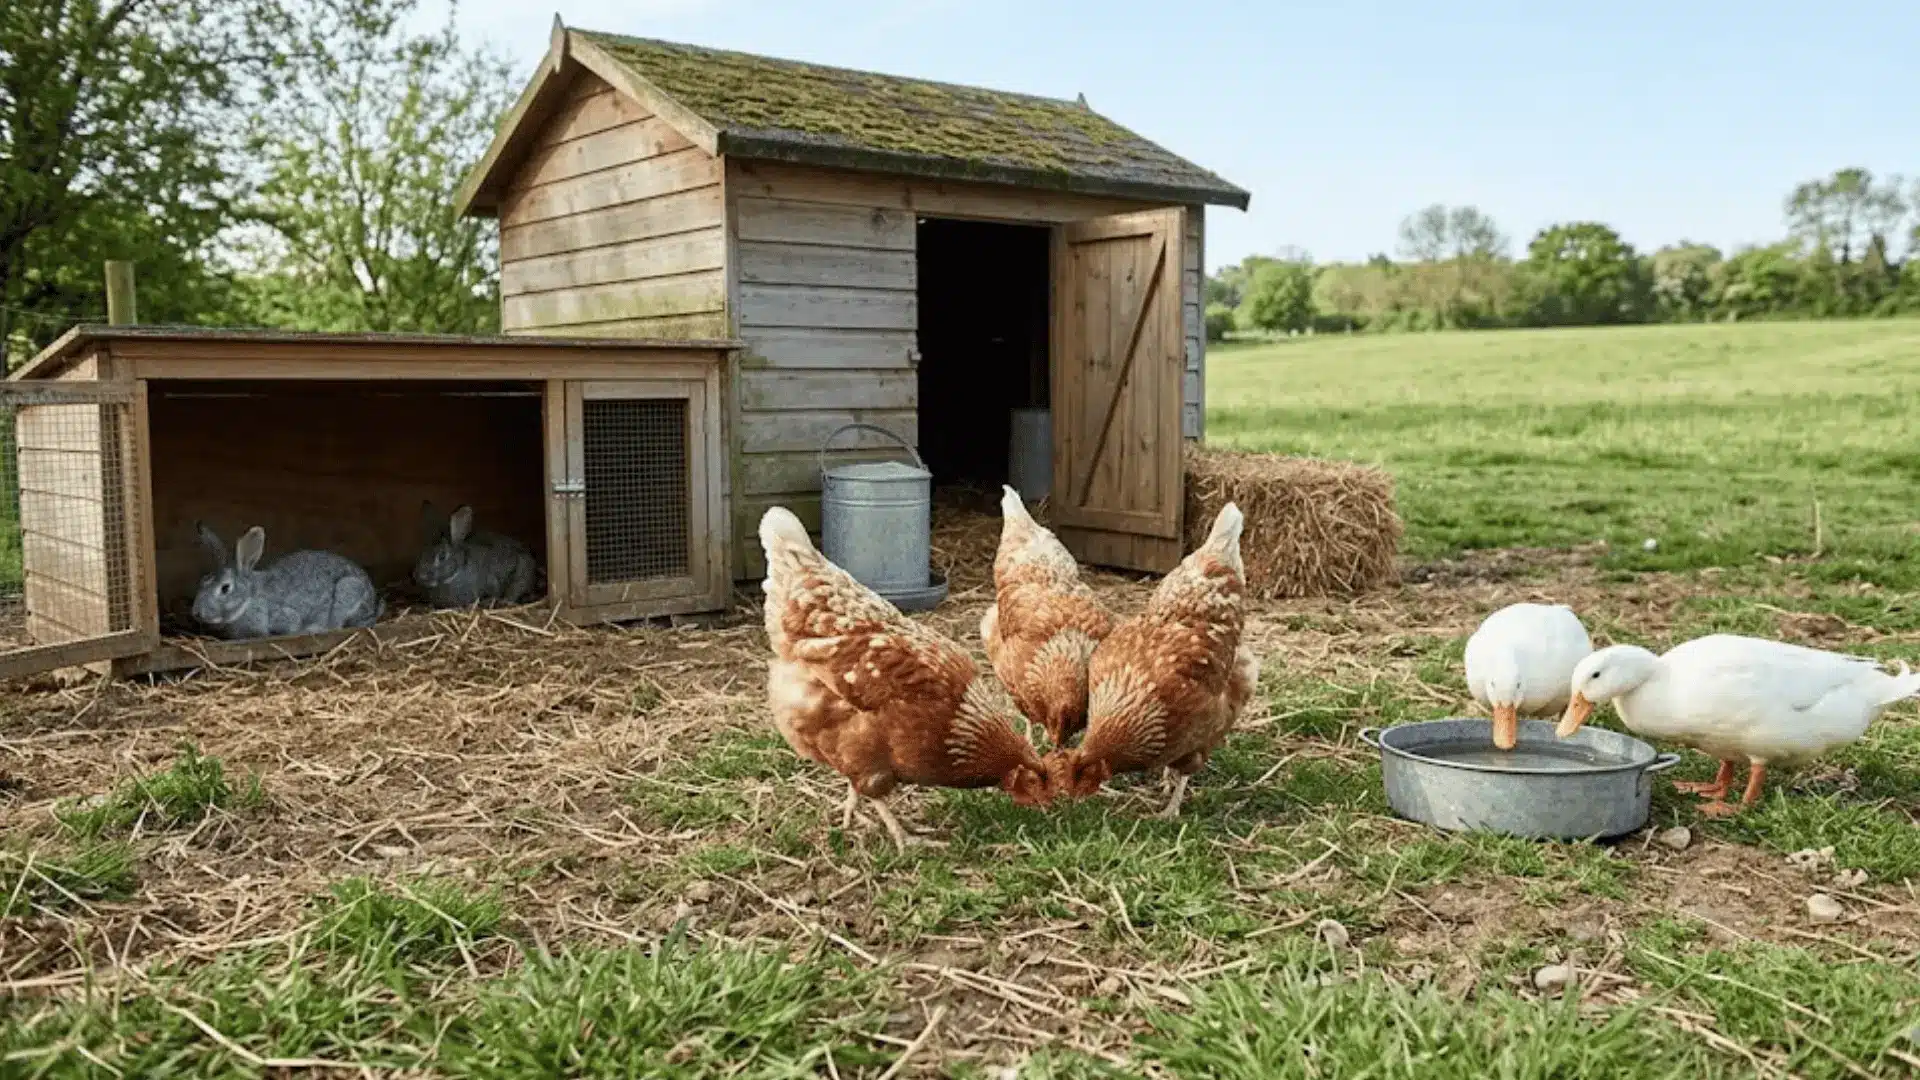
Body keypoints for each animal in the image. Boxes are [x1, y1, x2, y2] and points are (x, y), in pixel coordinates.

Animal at [191, 523, 383, 640]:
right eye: (202, 582)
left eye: (225, 588)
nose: (196, 613)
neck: (249, 599)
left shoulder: (283, 616)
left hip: (348, 590)